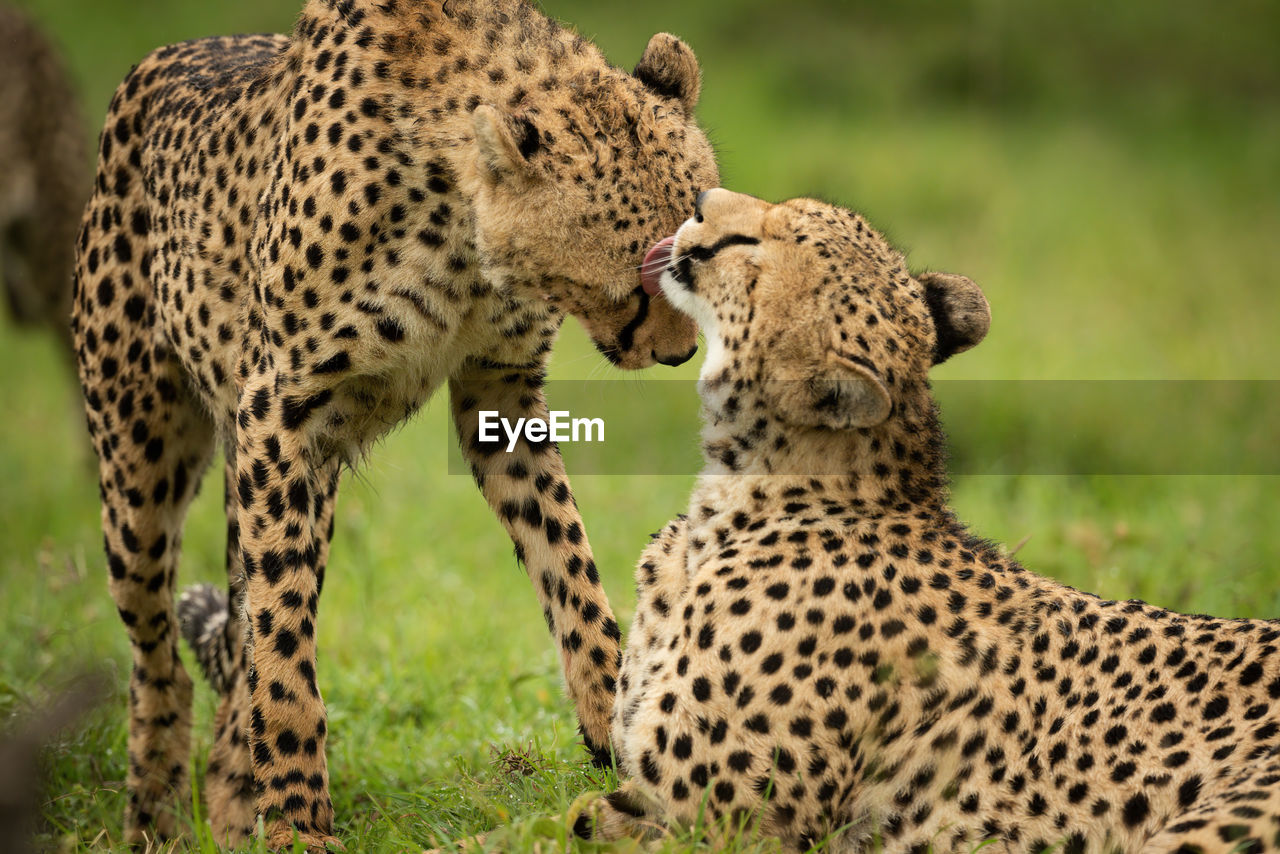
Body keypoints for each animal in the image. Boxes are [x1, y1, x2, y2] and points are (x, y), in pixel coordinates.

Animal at [72, 0, 721, 845]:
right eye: (637, 284)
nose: (680, 355)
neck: (460, 221)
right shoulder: (279, 411)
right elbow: (283, 647)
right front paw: (299, 823)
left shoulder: (498, 391)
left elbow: (568, 561)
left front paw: (612, 717)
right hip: (143, 462)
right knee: (162, 653)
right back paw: (158, 816)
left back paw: (231, 803)